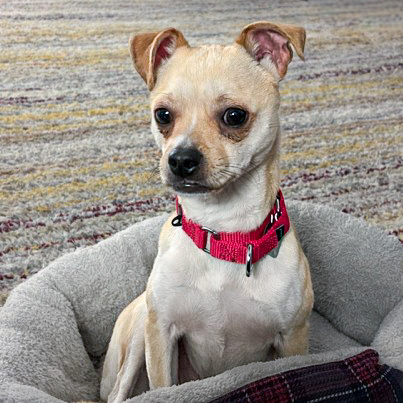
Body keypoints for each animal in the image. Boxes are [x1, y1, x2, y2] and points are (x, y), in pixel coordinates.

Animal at [100, 21, 313, 402]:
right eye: (163, 115)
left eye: (235, 116)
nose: (180, 159)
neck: (223, 232)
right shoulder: (161, 335)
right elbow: (164, 386)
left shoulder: (293, 340)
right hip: (139, 334)